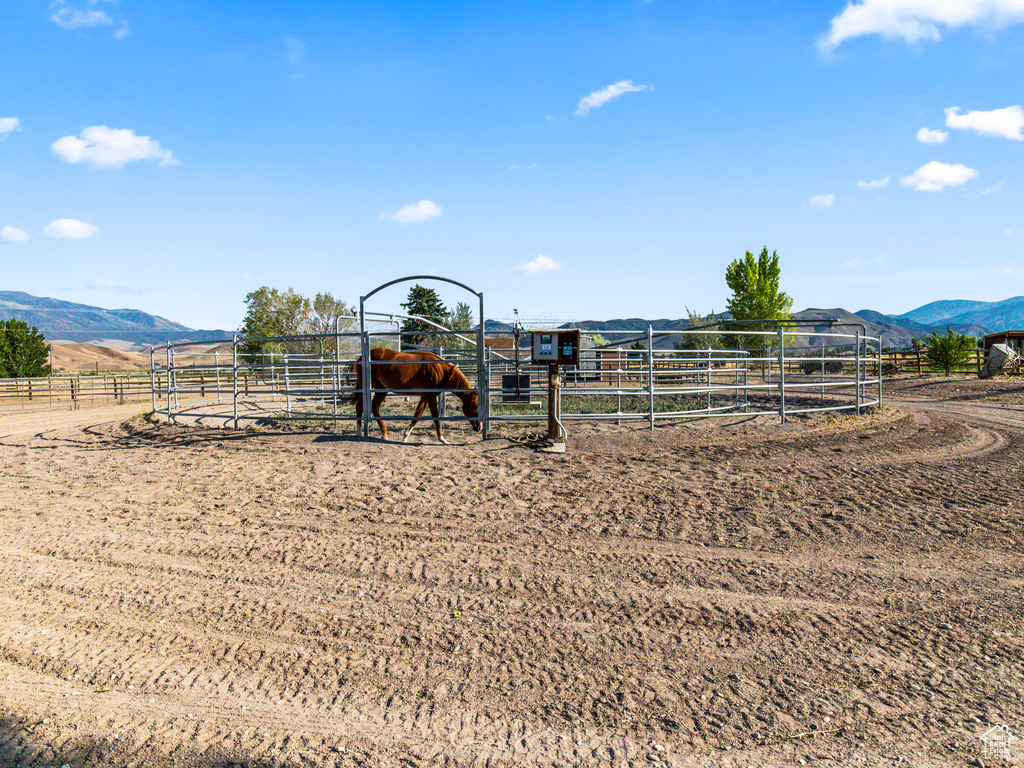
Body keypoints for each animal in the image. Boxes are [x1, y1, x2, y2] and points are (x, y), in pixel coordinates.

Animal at [350, 348, 481, 444]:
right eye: (474, 406)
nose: (479, 427)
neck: (441, 370)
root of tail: (362, 357)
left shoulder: (425, 397)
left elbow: (417, 416)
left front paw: (405, 437)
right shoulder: (431, 397)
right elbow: (436, 417)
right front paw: (442, 439)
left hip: (382, 389)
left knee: (375, 407)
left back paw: (384, 434)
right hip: (367, 387)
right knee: (359, 406)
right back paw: (359, 432)